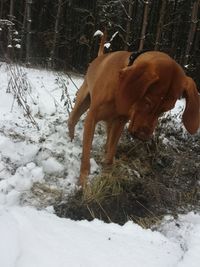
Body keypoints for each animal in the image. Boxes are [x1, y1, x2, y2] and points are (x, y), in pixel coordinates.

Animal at [68, 36, 199, 186]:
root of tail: (99, 57)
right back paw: (70, 138)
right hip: (82, 102)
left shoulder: (119, 123)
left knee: (108, 141)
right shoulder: (92, 118)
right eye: (147, 101)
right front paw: (83, 179)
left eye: (166, 109)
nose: (144, 136)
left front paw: (108, 171)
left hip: (110, 122)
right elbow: (86, 153)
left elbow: (111, 152)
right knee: (72, 120)